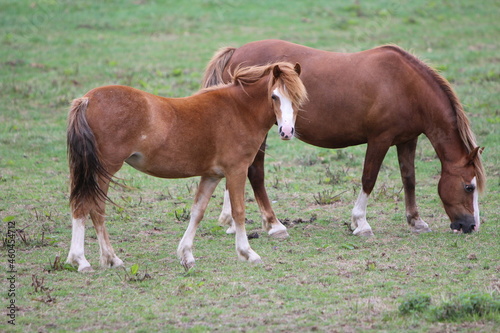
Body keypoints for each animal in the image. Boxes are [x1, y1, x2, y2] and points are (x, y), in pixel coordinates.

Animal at [65, 61, 308, 272]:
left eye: (298, 98)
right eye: (275, 96)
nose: (287, 131)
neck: (239, 110)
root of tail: (87, 99)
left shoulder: (212, 175)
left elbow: (197, 212)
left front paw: (186, 255)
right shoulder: (236, 171)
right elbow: (238, 212)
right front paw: (247, 253)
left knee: (82, 207)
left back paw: (95, 259)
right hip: (102, 171)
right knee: (91, 208)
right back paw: (88, 260)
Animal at [202, 38, 484, 236]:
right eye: (468, 187)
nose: (471, 226)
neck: (405, 86)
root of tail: (237, 53)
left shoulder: (407, 139)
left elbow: (409, 179)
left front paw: (416, 221)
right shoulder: (379, 139)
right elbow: (369, 178)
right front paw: (361, 222)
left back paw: (231, 222)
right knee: (255, 173)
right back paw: (274, 225)